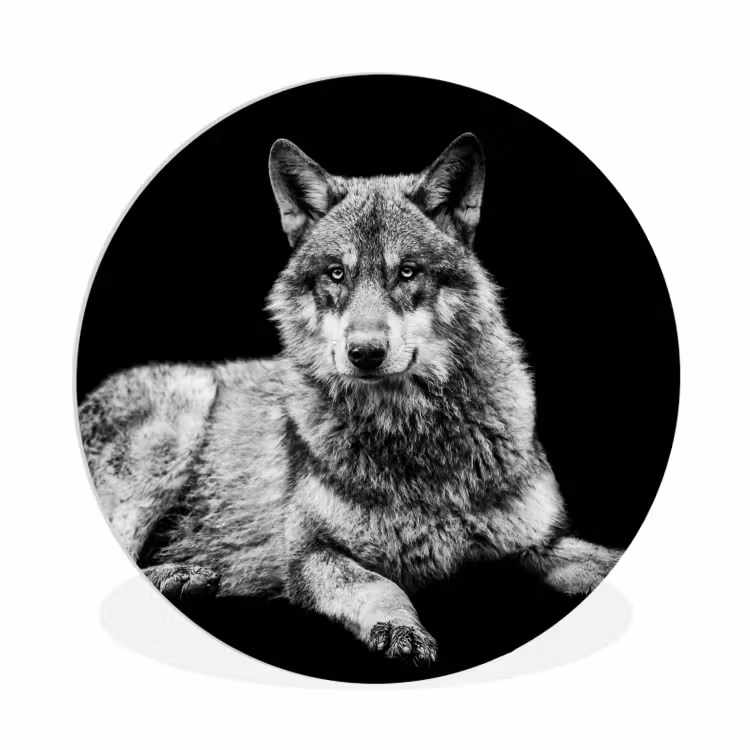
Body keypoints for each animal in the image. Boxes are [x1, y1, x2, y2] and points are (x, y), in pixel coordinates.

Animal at [78, 133, 621, 667]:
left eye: (407, 272)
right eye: (337, 274)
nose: (364, 353)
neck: (412, 437)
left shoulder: (539, 544)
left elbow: (600, 560)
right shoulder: (311, 555)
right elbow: (382, 586)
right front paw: (401, 630)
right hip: (180, 417)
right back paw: (181, 575)